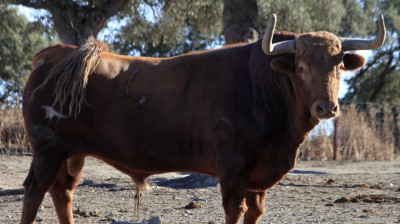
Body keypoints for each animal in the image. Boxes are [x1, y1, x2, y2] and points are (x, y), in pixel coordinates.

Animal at [19, 14, 384, 223]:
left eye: (339, 66)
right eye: (302, 68)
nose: (327, 108)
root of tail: (56, 54)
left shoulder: (257, 178)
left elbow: (255, 212)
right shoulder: (234, 168)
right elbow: (235, 211)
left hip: (72, 154)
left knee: (63, 194)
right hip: (47, 150)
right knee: (35, 193)